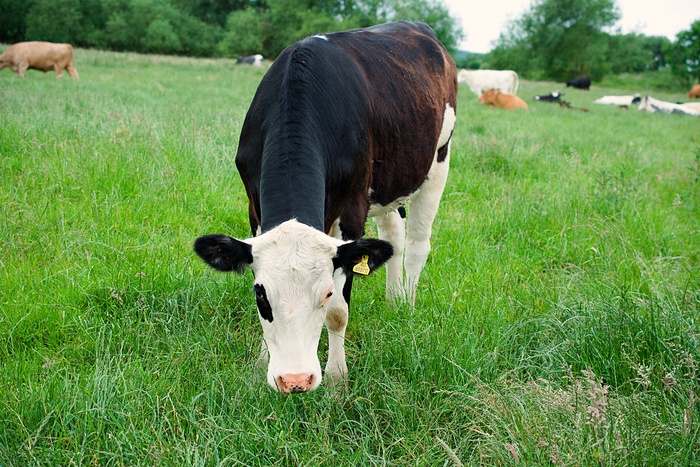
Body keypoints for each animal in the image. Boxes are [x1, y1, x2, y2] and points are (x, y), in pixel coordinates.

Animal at [194, 22, 456, 394]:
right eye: (261, 295)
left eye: (327, 292)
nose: (294, 380)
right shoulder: (253, 207)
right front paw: (262, 363)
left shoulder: (352, 212)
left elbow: (339, 313)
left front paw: (336, 378)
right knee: (393, 235)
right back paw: (393, 301)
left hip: (437, 163)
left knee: (418, 244)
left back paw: (407, 304)